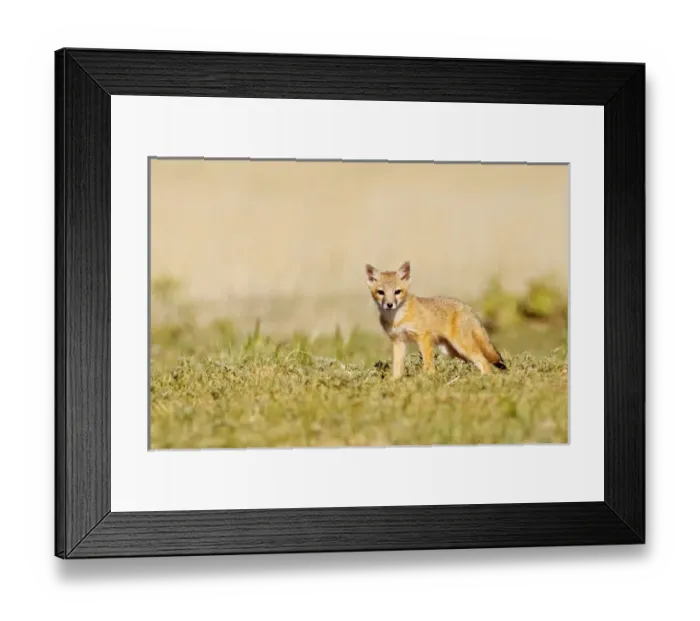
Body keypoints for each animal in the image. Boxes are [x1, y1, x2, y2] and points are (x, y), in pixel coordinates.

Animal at [365, 261, 507, 379]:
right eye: (381, 292)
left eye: (397, 292)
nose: (389, 305)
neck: (397, 318)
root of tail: (465, 306)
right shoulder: (398, 341)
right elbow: (397, 367)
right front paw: (396, 381)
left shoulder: (423, 337)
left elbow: (428, 364)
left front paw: (427, 379)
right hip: (452, 352)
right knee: (477, 362)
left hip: (462, 347)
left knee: (484, 361)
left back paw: (485, 379)